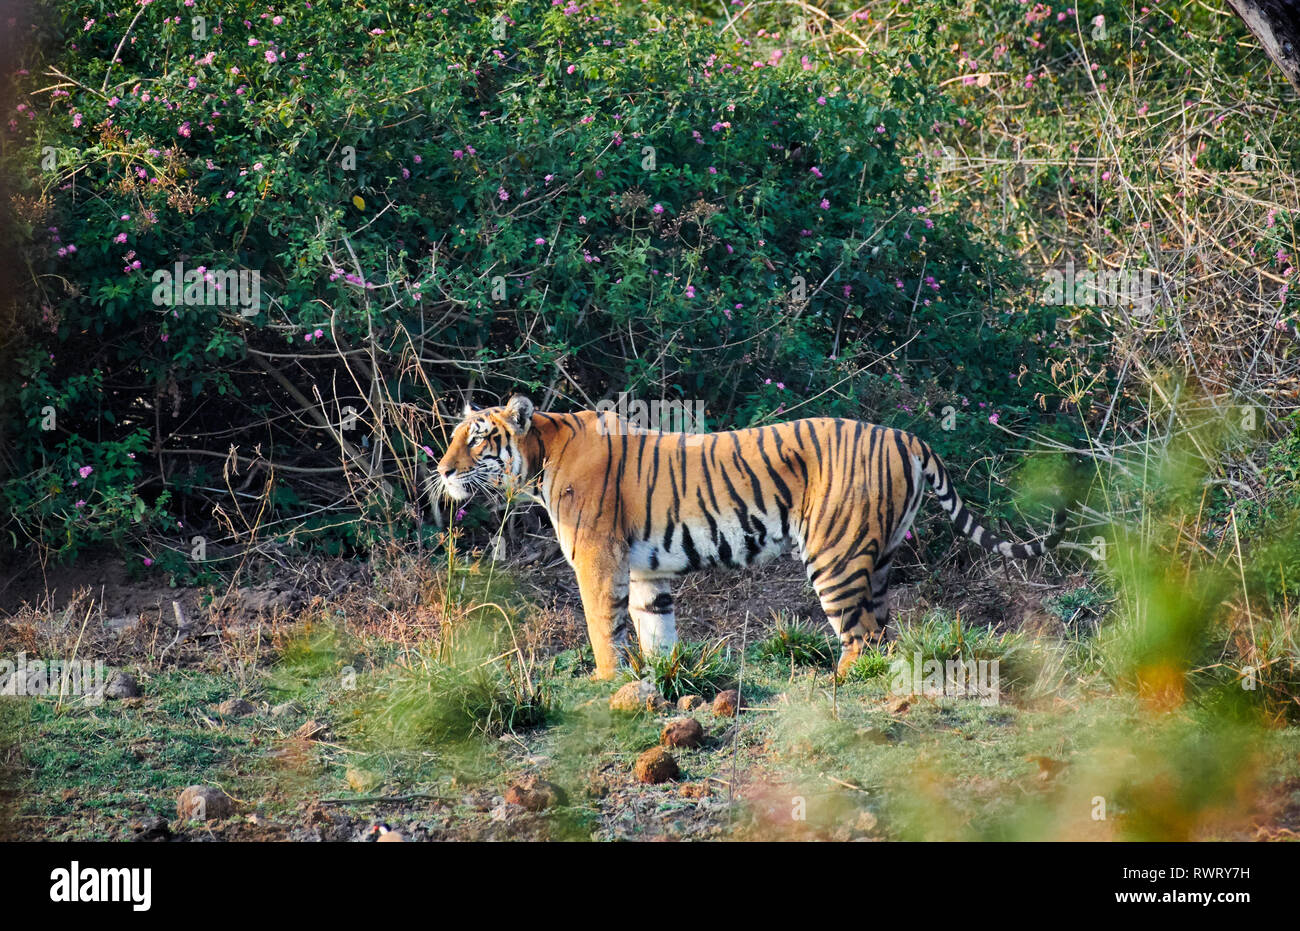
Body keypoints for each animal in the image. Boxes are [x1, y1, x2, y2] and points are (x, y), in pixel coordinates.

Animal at [431, 392, 1060, 676]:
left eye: (477, 438)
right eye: (456, 436)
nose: (441, 469)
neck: (539, 459)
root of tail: (905, 435)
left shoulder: (596, 560)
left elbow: (601, 630)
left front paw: (608, 686)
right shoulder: (645, 571)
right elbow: (655, 630)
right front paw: (660, 684)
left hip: (834, 555)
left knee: (858, 636)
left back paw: (834, 688)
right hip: (877, 557)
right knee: (882, 632)